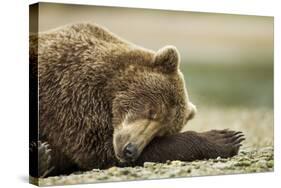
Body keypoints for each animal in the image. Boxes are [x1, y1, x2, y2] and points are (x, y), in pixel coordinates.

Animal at [28, 22, 243, 177]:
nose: (130, 149)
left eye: (161, 132)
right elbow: (96, 148)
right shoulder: (71, 97)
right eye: (152, 111)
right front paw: (225, 137)